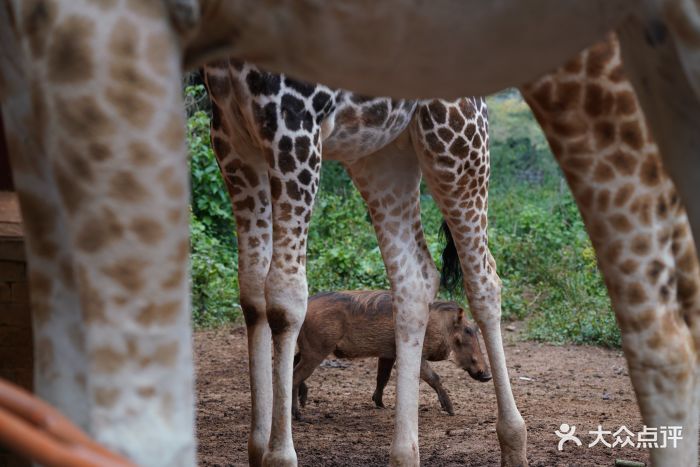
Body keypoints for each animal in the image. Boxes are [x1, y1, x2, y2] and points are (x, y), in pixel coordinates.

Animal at [200, 59, 524, 467]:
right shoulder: (232, 138)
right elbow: (252, 294)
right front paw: (258, 449)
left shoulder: (294, 126)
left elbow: (284, 301)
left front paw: (280, 455)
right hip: (380, 155)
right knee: (416, 277)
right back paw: (405, 453)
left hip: (458, 146)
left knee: (483, 279)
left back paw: (514, 441)